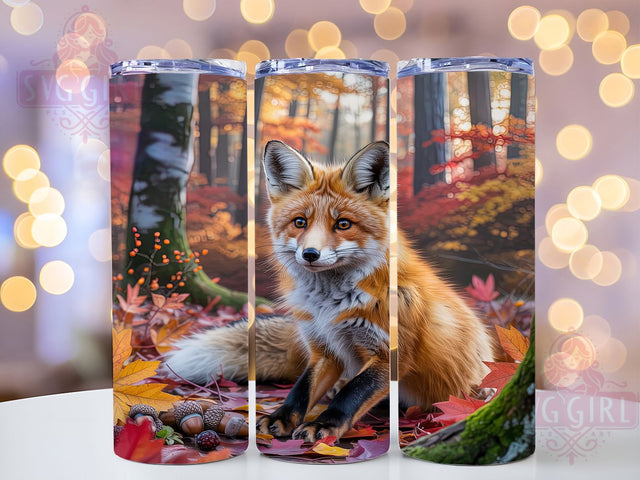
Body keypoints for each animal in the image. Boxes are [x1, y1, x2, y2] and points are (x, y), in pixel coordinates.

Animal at [164, 140, 493, 442]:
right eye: (300, 222)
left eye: (343, 224)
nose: (310, 254)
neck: (330, 307)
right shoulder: (324, 349)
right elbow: (301, 389)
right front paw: (280, 418)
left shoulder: (389, 354)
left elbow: (352, 392)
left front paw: (324, 424)